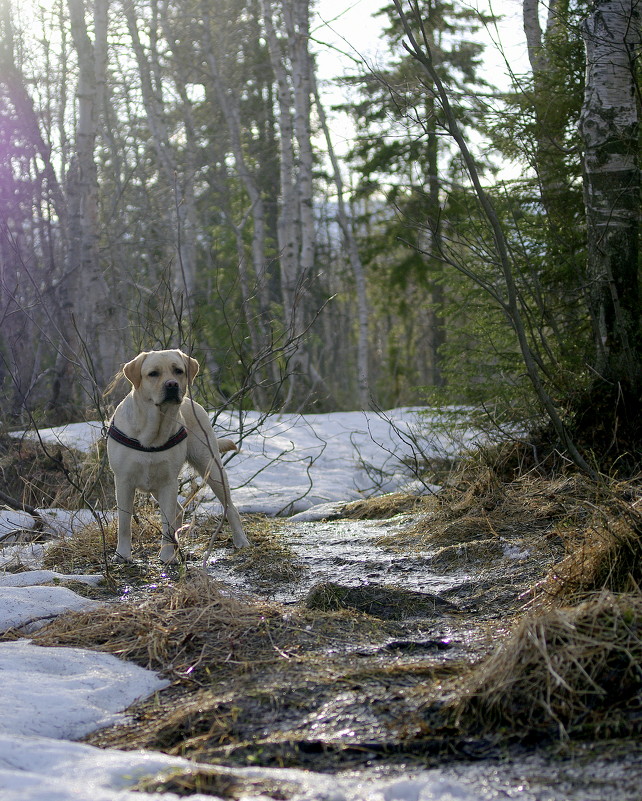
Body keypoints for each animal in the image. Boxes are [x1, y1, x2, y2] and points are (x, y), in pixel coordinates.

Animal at [106, 350, 249, 564]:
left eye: (178, 371)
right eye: (153, 373)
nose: (172, 385)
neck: (153, 432)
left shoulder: (169, 482)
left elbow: (167, 522)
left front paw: (167, 556)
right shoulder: (123, 481)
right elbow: (124, 522)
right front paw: (122, 555)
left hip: (211, 468)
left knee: (229, 508)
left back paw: (240, 540)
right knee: (180, 510)